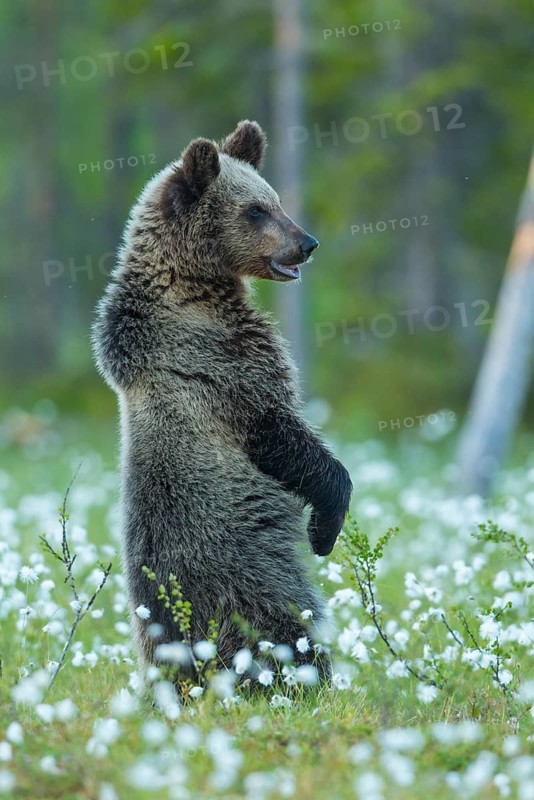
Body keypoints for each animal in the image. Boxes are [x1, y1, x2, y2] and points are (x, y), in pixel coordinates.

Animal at [92, 120, 353, 682]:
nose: (307, 243)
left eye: (275, 199)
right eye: (255, 210)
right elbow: (280, 432)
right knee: (281, 620)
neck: (193, 285)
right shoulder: (225, 364)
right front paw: (325, 526)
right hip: (245, 571)